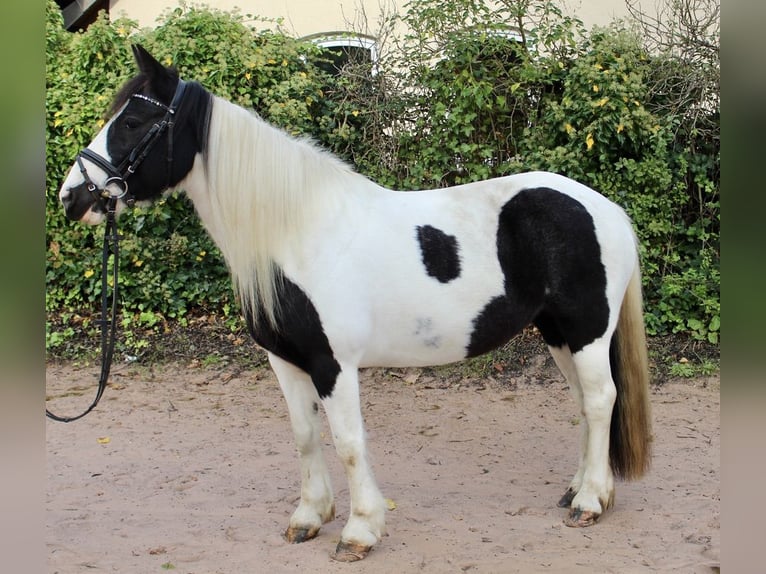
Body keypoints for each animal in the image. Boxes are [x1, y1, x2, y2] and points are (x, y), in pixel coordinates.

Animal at [58, 46, 656, 564]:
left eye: (133, 122)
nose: (72, 198)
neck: (297, 231)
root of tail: (606, 208)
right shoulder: (285, 360)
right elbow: (304, 436)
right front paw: (309, 516)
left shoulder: (333, 364)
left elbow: (347, 441)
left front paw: (360, 530)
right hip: (557, 332)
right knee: (585, 403)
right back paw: (580, 489)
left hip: (587, 330)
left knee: (600, 399)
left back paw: (590, 502)